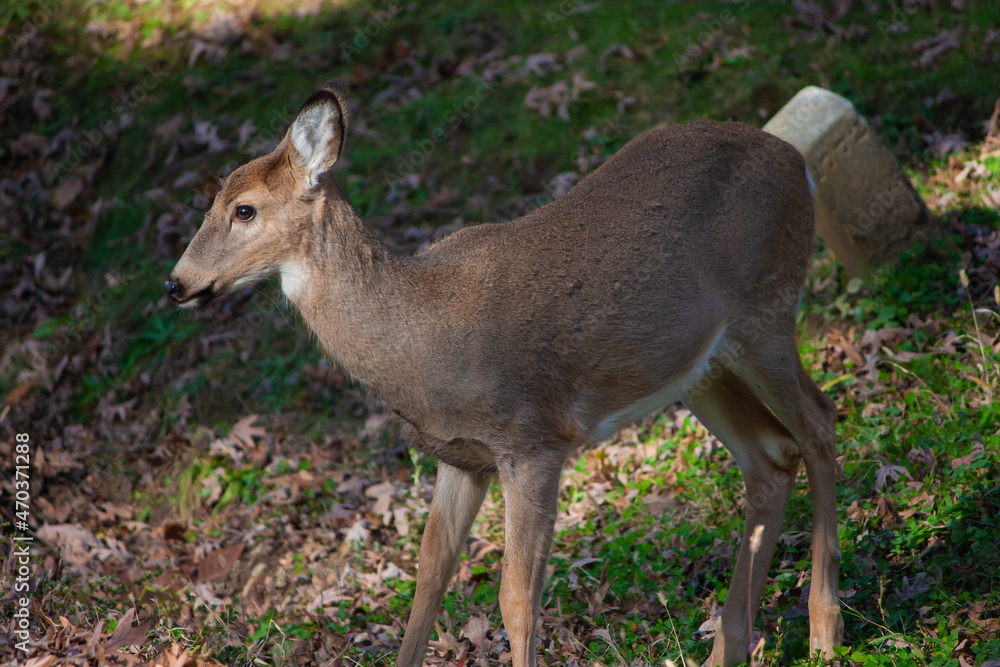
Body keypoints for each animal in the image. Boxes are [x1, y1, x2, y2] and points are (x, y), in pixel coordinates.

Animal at [167, 79, 844, 667]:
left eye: (245, 210)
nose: (176, 283)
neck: (423, 341)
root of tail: (798, 162)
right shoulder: (460, 456)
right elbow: (428, 579)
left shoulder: (533, 442)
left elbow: (516, 599)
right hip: (700, 367)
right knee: (770, 455)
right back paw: (729, 647)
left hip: (766, 309)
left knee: (819, 424)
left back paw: (824, 631)